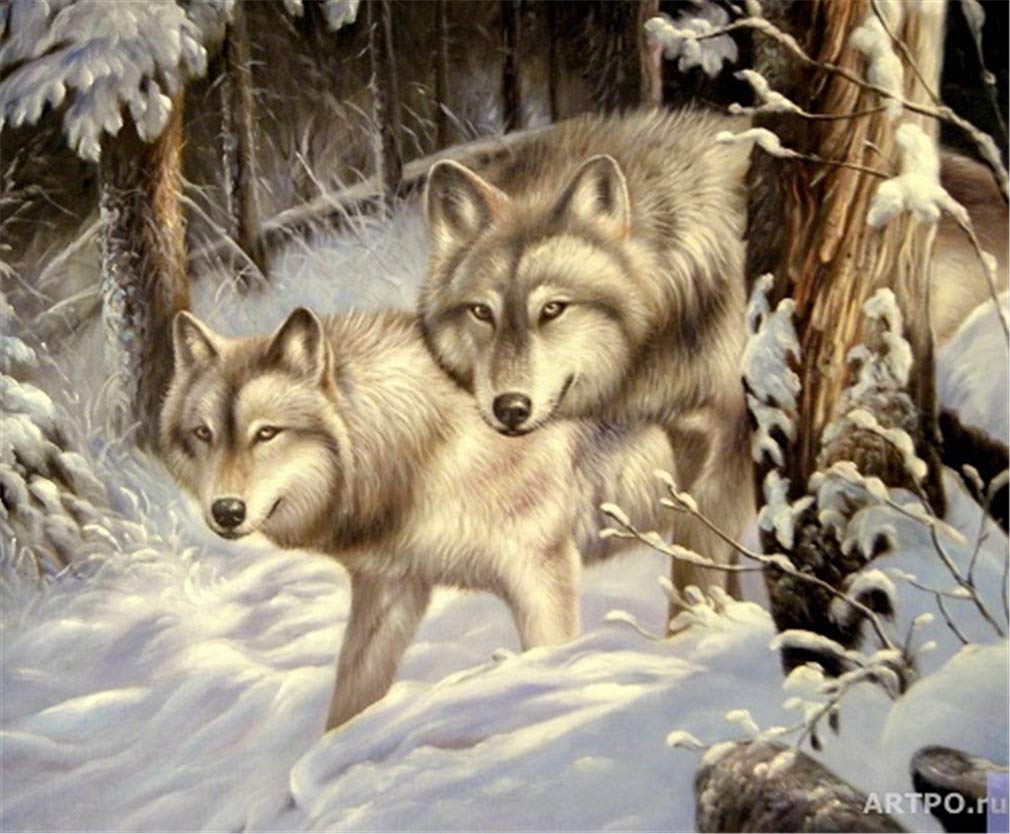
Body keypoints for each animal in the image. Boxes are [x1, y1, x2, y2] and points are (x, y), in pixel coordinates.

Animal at [160, 306, 674, 729]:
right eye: (204, 434)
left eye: (266, 433)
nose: (226, 511)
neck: (426, 444)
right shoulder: (390, 588)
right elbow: (351, 694)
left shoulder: (541, 571)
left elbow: (550, 655)